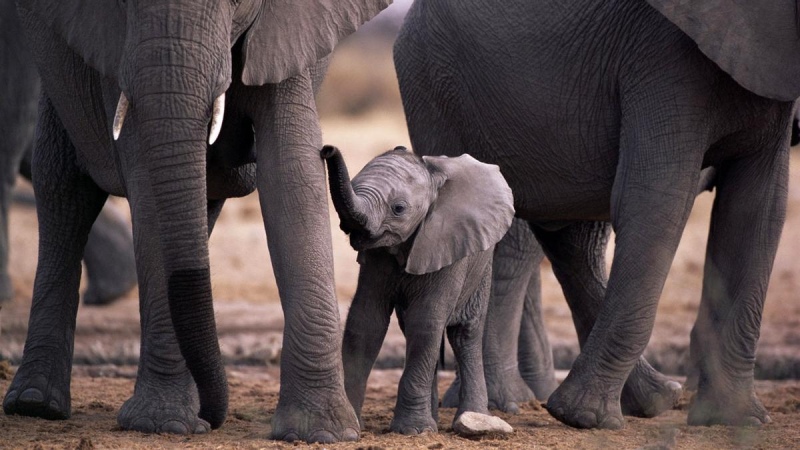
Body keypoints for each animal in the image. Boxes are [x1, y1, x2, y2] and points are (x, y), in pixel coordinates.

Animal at [322, 147, 516, 436]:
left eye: (399, 208)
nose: (327, 150)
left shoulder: (447, 243)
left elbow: (425, 322)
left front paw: (413, 431)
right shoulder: (377, 257)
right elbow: (365, 322)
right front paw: (354, 424)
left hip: (481, 267)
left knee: (464, 334)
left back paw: (472, 418)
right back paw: (433, 419)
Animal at [394, 0, 792, 428]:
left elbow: (759, 209)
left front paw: (734, 420)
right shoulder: (663, 56)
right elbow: (655, 198)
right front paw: (583, 418)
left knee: (568, 237)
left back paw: (656, 399)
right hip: (436, 85)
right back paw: (520, 407)